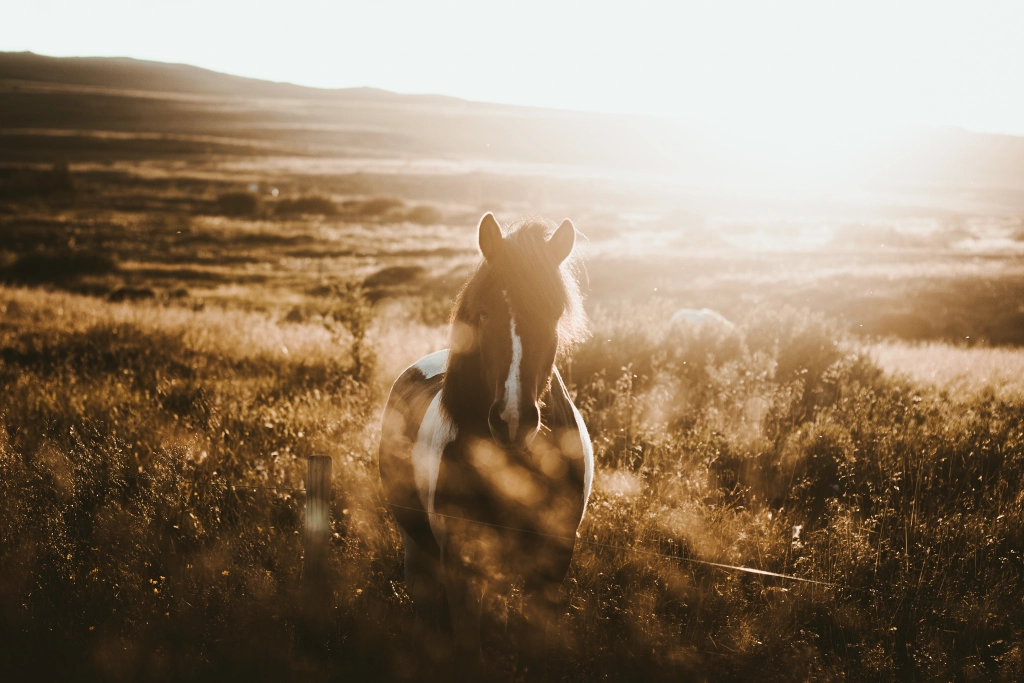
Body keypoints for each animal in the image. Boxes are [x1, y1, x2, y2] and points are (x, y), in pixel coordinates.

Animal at [380, 214, 598, 671]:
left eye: (553, 313)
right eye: (484, 312)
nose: (512, 420)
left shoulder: (554, 561)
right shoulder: (462, 564)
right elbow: (468, 648)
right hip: (416, 540)